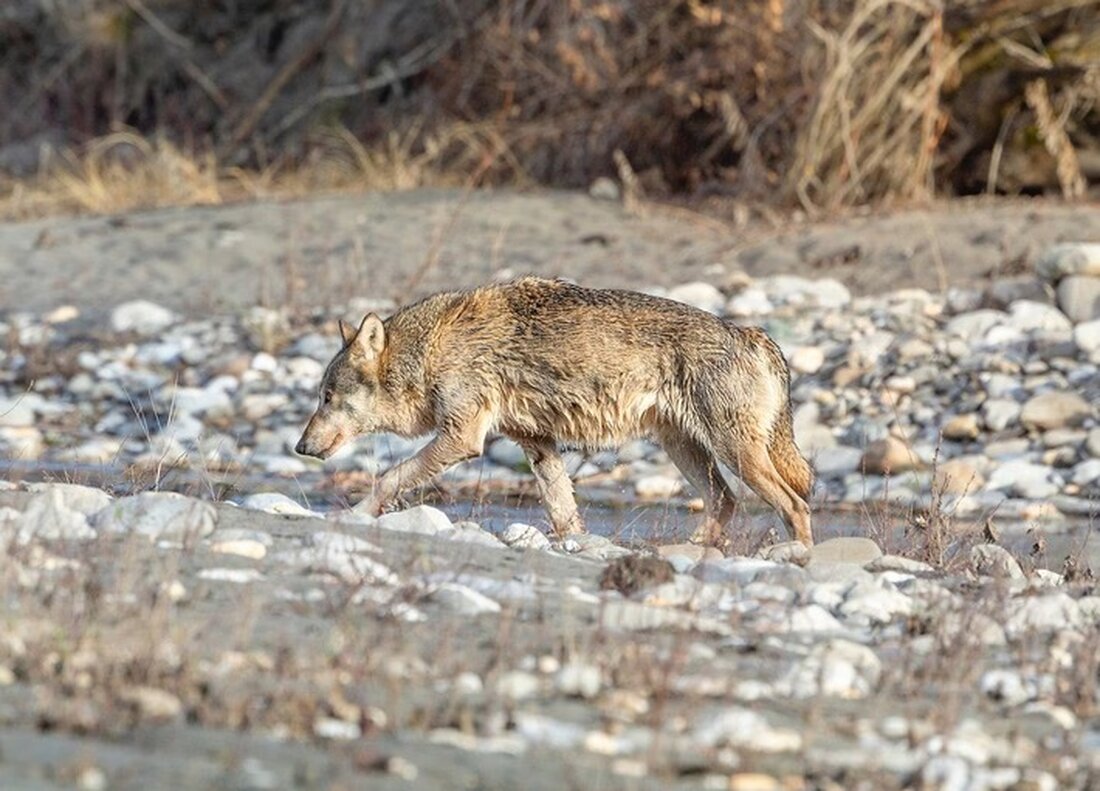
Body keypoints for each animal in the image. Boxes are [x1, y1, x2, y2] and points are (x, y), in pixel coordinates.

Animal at [296, 277, 813, 546]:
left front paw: (355, 514)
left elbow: (389, 478)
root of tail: (751, 334)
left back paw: (794, 559)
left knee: (795, 504)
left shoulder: (462, 439)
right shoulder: (538, 446)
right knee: (726, 502)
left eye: (326, 397)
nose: (299, 446)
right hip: (686, 450)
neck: (432, 348)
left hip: (733, 453)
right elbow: (564, 512)